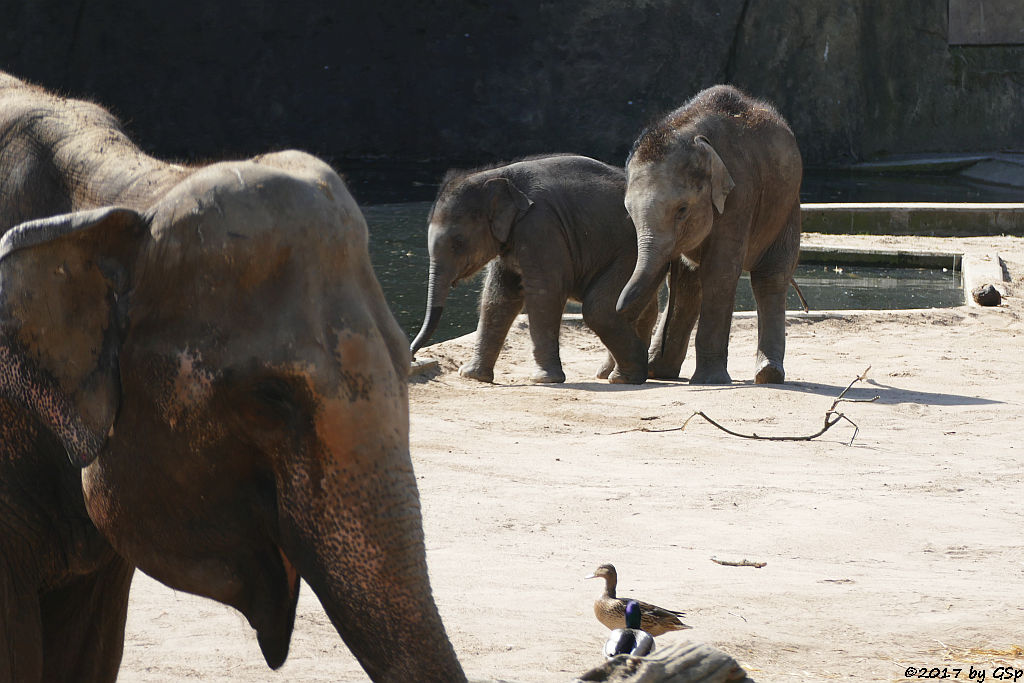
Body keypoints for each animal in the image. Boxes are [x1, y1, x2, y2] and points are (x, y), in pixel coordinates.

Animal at [407, 152, 655, 385]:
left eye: (458, 242)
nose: (412, 356)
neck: (497, 174)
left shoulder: (540, 226)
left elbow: (543, 292)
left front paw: (544, 379)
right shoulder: (510, 237)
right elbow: (499, 296)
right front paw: (472, 375)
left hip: (630, 252)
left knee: (601, 309)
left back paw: (625, 377)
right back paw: (619, 372)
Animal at [610, 85, 802, 385]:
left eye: (682, 210)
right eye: (629, 213)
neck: (690, 135)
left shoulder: (740, 194)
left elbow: (720, 271)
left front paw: (710, 381)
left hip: (787, 209)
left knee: (770, 278)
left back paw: (768, 375)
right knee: (689, 284)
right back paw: (659, 370)